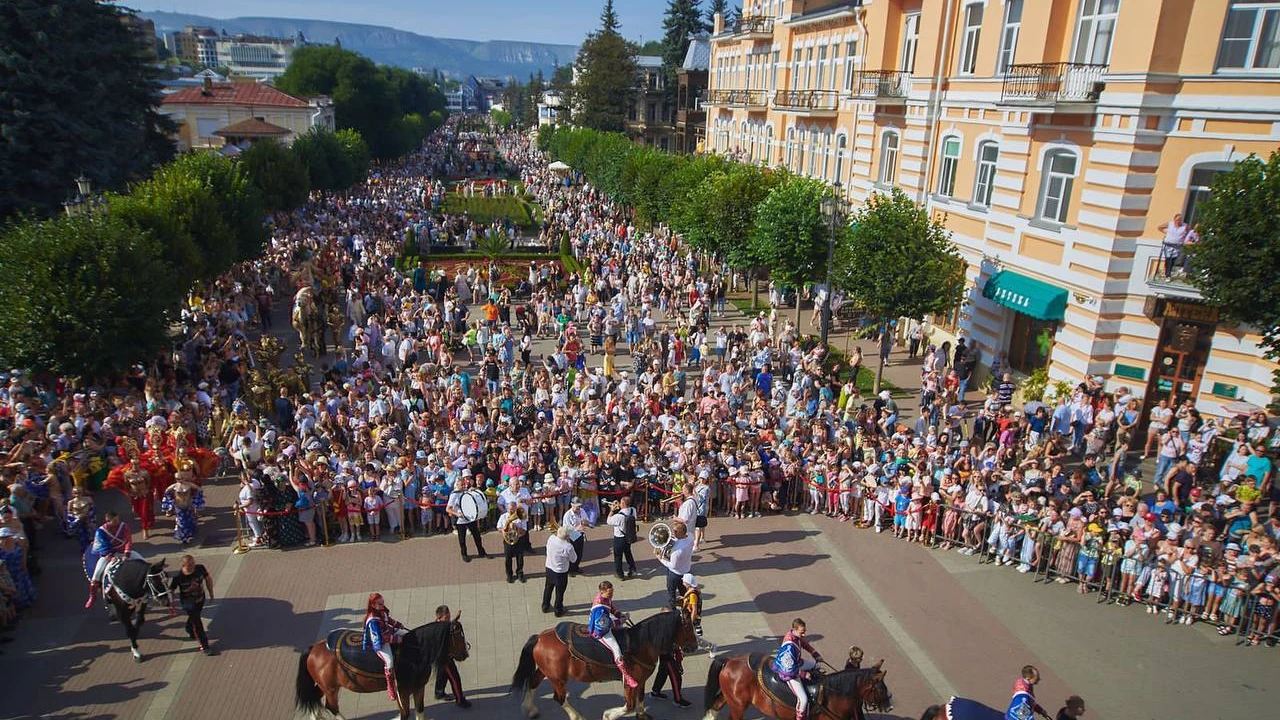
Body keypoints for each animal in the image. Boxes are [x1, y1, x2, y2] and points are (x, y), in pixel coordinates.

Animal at [294, 609, 471, 717]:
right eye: (458, 635)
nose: (465, 654)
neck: (414, 652)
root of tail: (313, 648)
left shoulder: (418, 687)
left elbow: (420, 711)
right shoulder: (403, 691)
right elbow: (405, 714)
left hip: (323, 686)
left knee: (315, 704)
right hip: (331, 689)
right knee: (331, 708)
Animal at [506, 604, 696, 717]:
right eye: (688, 626)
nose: (694, 646)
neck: (640, 643)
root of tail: (540, 637)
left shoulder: (640, 681)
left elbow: (640, 700)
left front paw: (642, 715)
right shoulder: (629, 682)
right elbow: (629, 705)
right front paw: (609, 715)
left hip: (547, 672)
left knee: (532, 682)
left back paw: (530, 709)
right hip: (558, 678)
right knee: (559, 698)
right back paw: (577, 717)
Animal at [701, 653, 890, 717]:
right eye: (881, 689)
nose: (889, 706)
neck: (833, 694)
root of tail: (729, 660)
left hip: (731, 699)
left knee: (714, 707)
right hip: (738, 706)